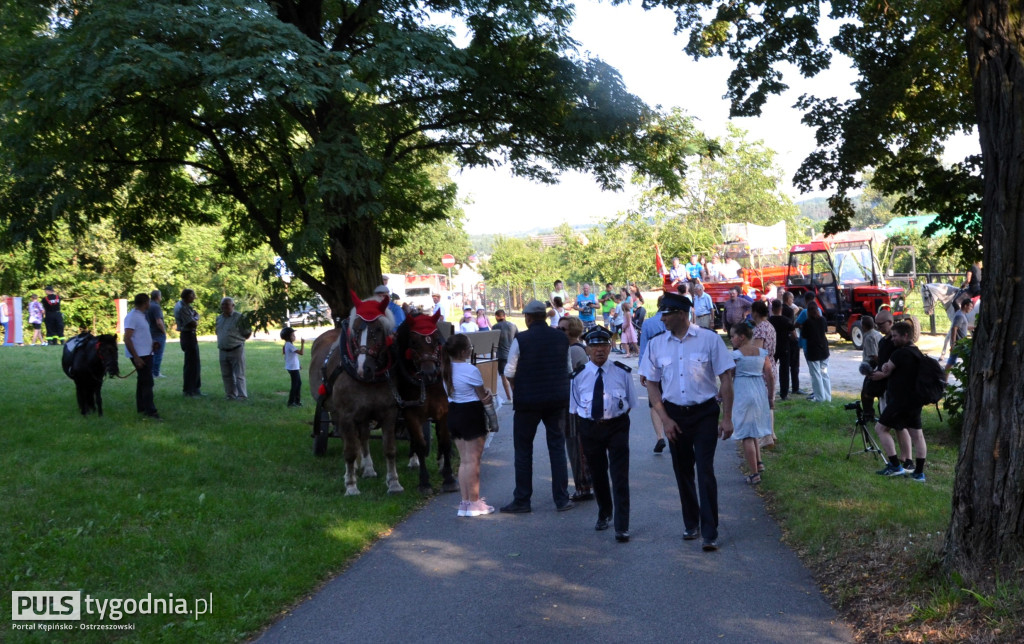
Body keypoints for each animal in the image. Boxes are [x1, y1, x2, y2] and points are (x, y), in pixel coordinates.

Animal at [311, 294, 403, 495]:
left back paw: (367, 468)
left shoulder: (389, 413)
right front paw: (351, 485)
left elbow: (389, 449)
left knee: (363, 437)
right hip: (336, 411)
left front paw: (393, 483)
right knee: (350, 439)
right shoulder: (346, 415)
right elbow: (350, 451)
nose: (363, 368)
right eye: (355, 330)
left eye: (378, 329)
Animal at [391, 309, 456, 495]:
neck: (427, 385)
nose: (429, 372)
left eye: (436, 340)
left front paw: (449, 477)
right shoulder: (410, 414)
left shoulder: (444, 411)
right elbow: (420, 444)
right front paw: (424, 482)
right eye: (413, 341)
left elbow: (445, 441)